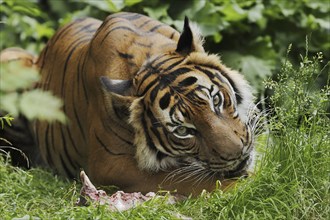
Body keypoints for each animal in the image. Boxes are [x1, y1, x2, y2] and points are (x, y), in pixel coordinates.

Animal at [0, 12, 258, 196]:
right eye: (183, 131)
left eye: (216, 100)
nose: (237, 154)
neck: (145, 58)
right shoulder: (111, 166)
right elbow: (197, 180)